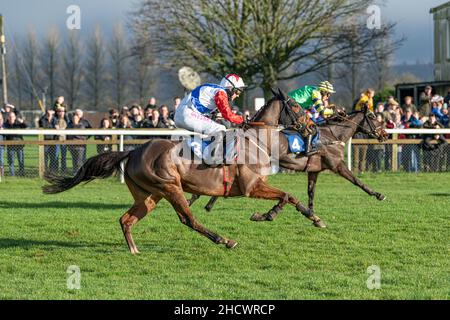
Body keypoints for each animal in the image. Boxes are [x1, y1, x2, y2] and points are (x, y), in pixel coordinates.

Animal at [43, 94, 326, 254]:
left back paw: (134, 250)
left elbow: (292, 197)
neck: (255, 140)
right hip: (171, 188)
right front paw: (266, 215)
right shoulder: (251, 187)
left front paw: (315, 219)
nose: (312, 126)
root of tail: (132, 152)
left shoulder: (258, 186)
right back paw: (224, 240)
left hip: (149, 196)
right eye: (297, 107)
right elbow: (285, 196)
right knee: (188, 219)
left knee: (126, 220)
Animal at [188, 89, 388, 222]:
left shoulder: (314, 170)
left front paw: (311, 214)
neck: (333, 135)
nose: (385, 134)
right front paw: (378, 194)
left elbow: (311, 192)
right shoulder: (337, 165)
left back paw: (206, 201)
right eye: (373, 117)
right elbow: (357, 181)